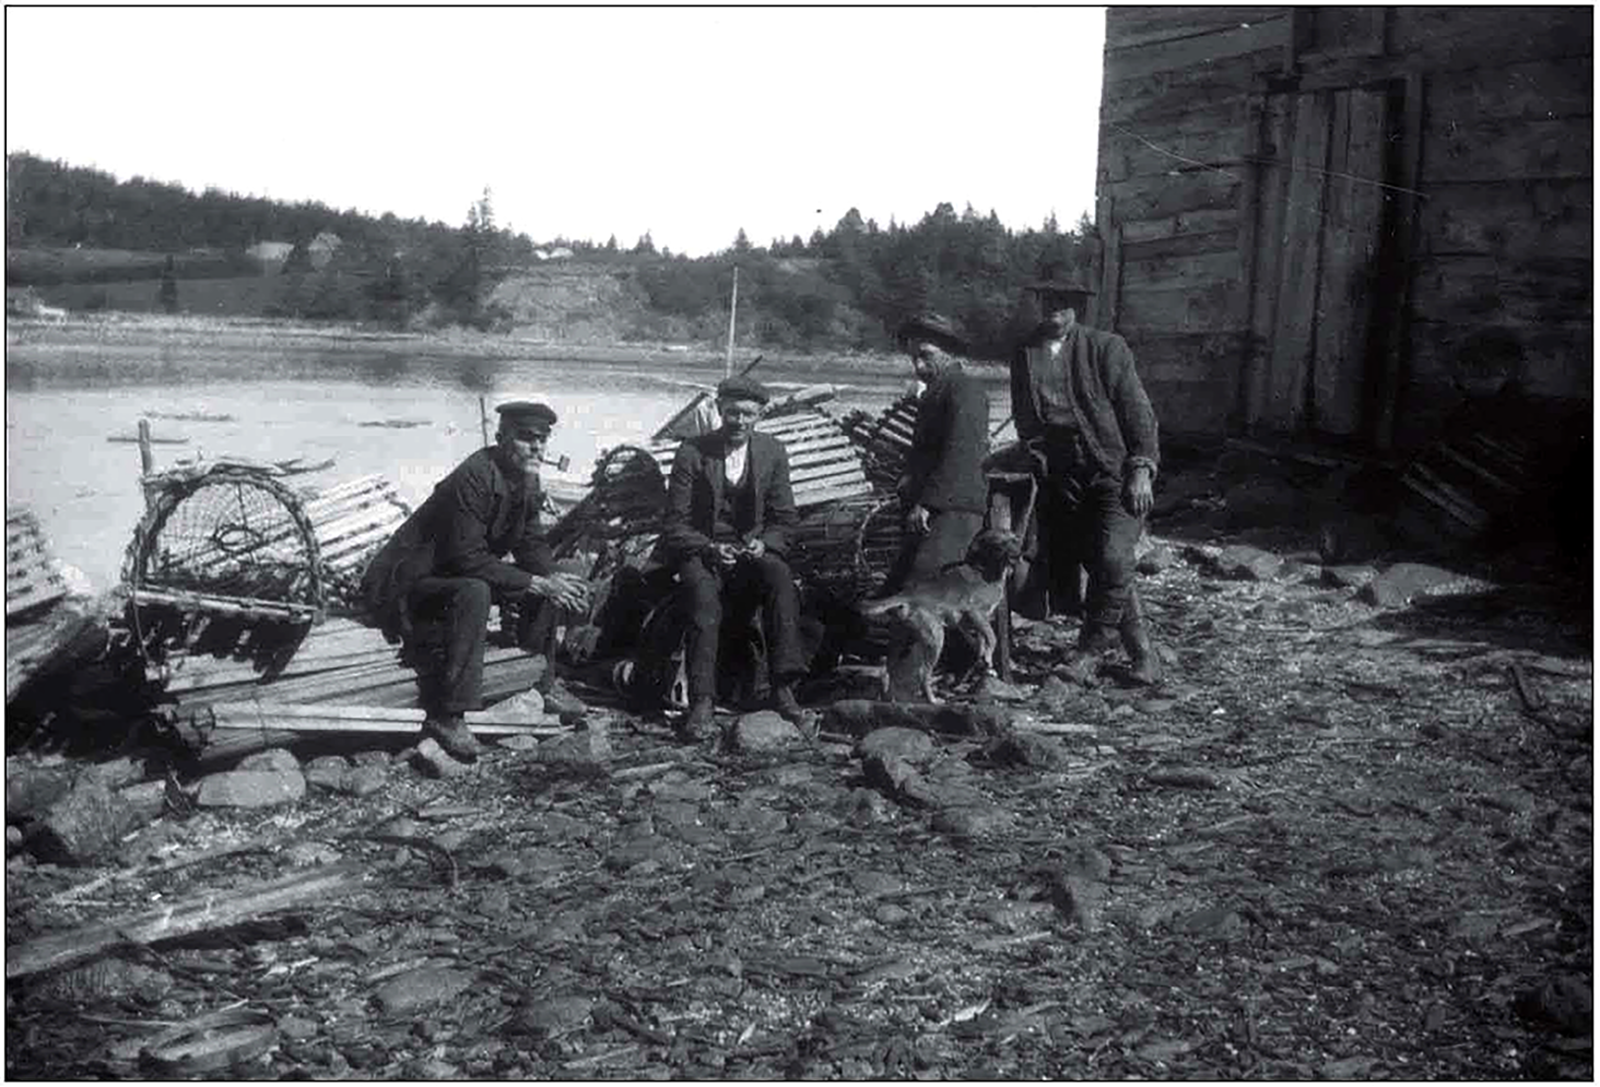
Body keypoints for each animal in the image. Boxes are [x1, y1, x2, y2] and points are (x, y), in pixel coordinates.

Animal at [864, 528, 1024, 701]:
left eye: (1014, 540)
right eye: (999, 544)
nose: (1018, 553)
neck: (987, 571)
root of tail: (907, 594)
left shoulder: (972, 621)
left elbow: (981, 641)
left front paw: (984, 661)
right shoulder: (975, 612)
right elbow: (992, 638)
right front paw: (987, 658)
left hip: (900, 639)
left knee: (886, 670)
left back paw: (887, 696)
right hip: (936, 638)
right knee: (923, 673)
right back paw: (933, 700)